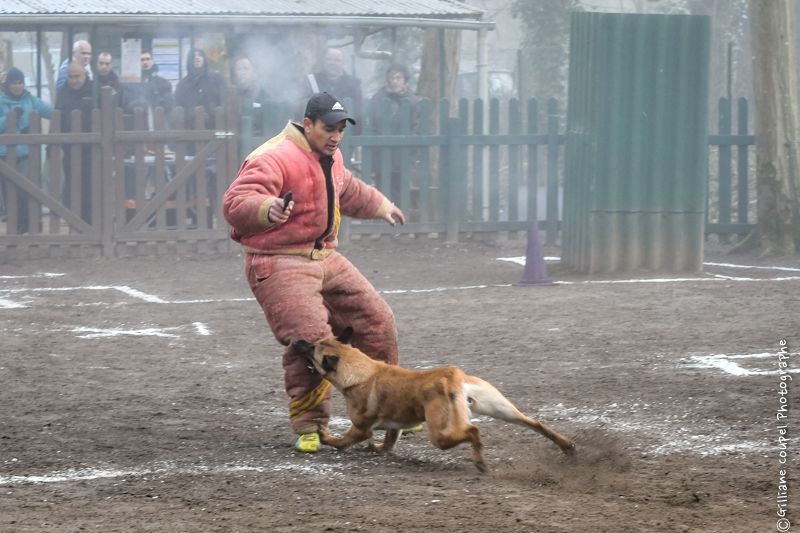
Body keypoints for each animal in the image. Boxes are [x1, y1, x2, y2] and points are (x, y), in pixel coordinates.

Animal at [292, 326, 576, 472]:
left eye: (313, 349)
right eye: (316, 341)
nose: (295, 341)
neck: (361, 371)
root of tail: (453, 376)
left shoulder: (361, 428)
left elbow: (342, 441)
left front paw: (326, 437)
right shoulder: (394, 426)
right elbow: (388, 442)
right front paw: (379, 448)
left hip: (440, 433)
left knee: (473, 431)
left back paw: (480, 462)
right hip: (500, 408)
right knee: (536, 423)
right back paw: (567, 446)